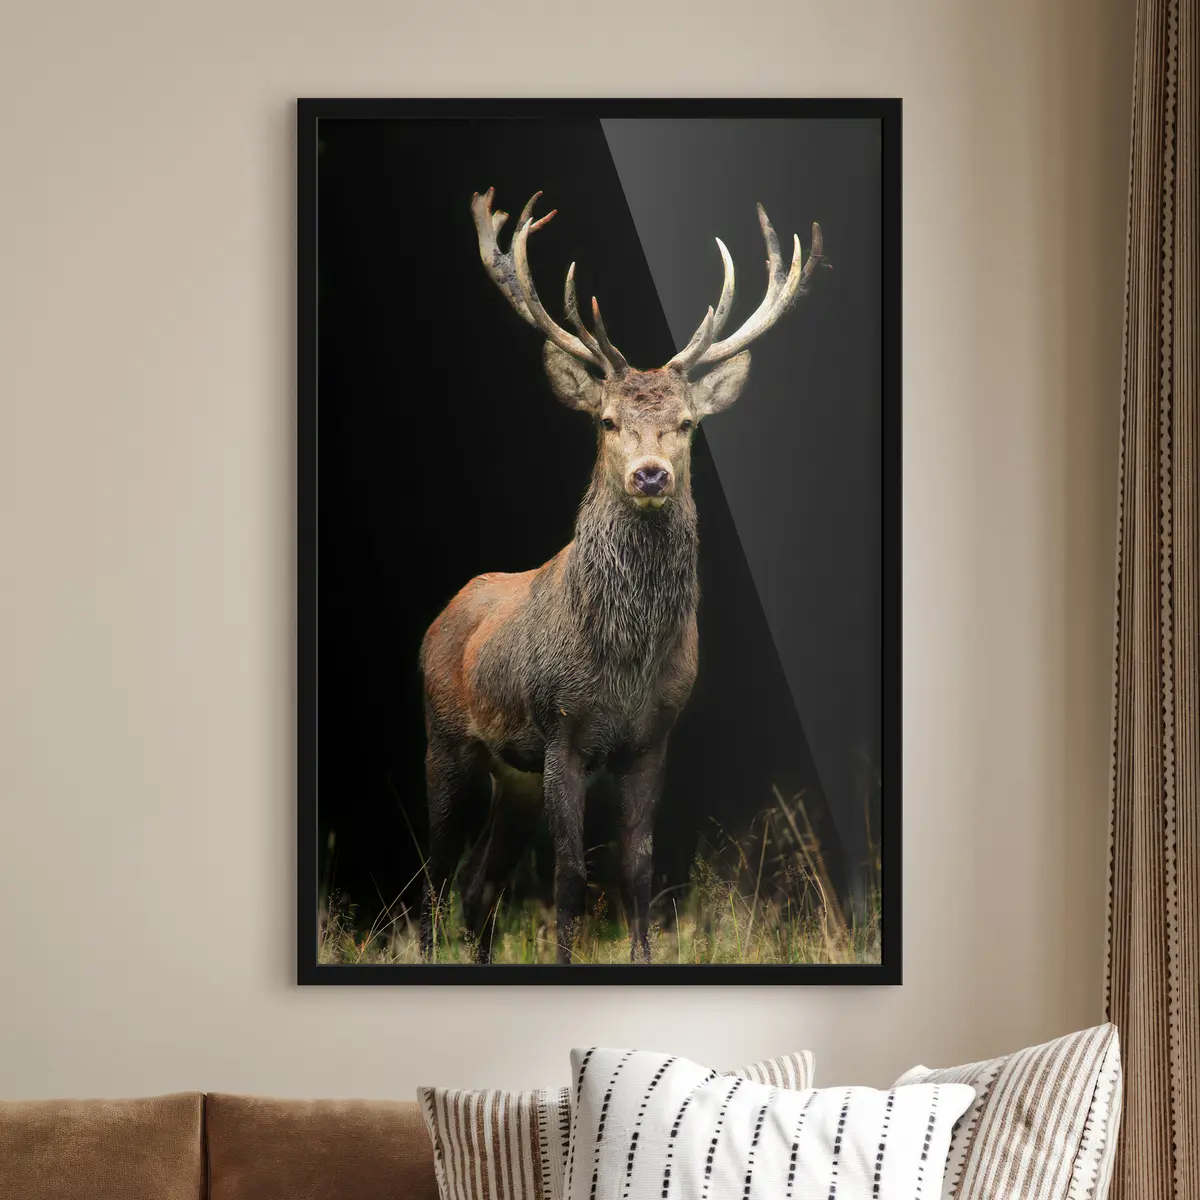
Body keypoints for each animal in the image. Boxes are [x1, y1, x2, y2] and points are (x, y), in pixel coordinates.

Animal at [418, 188, 828, 964]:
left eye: (689, 423)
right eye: (607, 421)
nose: (650, 474)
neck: (625, 663)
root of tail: (440, 618)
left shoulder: (654, 736)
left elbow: (638, 868)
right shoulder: (561, 729)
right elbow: (571, 874)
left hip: (512, 774)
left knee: (478, 884)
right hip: (447, 737)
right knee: (434, 866)